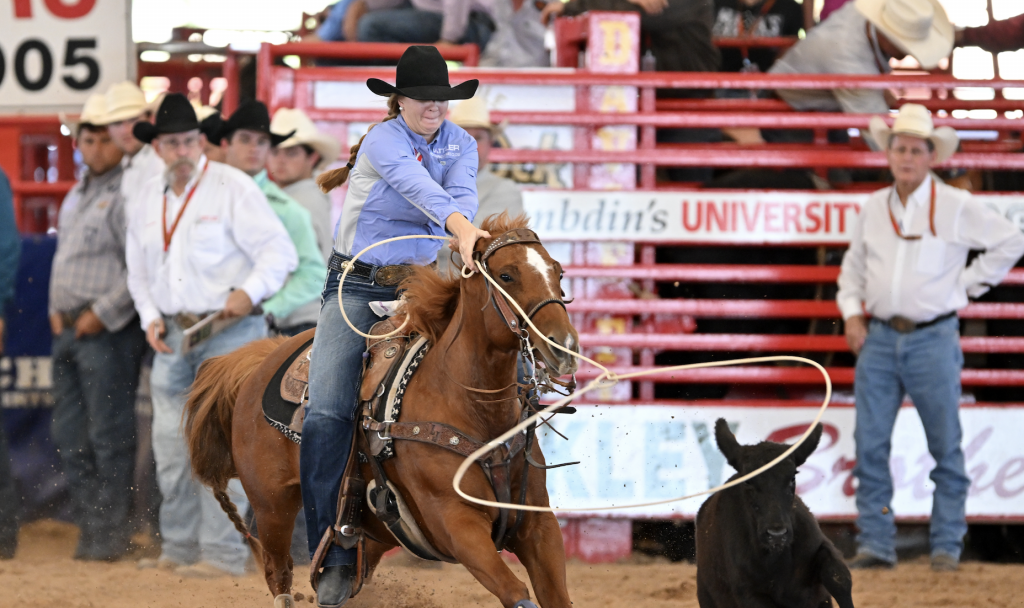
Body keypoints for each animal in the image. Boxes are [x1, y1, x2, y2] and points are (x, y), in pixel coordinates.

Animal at [184, 214, 579, 608]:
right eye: (507, 276)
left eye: (558, 272)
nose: (565, 347)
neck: (469, 405)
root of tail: (262, 357)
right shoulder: (456, 522)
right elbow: (517, 593)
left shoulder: (538, 526)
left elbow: (556, 595)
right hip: (272, 509)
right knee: (279, 575)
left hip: (372, 534)